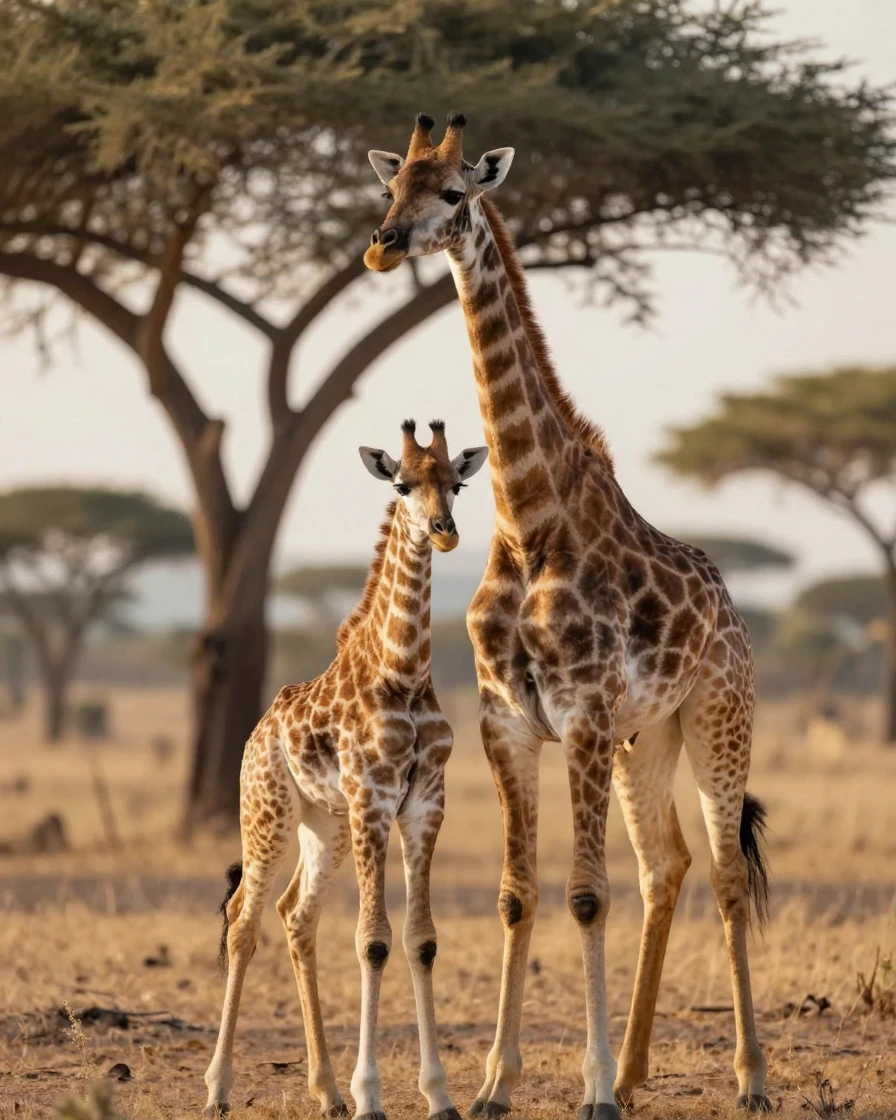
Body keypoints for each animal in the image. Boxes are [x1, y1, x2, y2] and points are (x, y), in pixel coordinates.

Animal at [202, 418, 488, 1120]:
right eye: (403, 484)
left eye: (459, 483)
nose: (444, 530)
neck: (404, 675)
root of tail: (257, 733)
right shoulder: (372, 799)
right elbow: (372, 940)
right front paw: (371, 1096)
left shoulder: (425, 804)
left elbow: (420, 939)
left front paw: (439, 1096)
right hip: (269, 816)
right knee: (243, 920)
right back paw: (218, 1089)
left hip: (324, 826)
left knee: (295, 916)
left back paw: (325, 1091)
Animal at [363, 113, 772, 1118]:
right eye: (390, 189)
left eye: (454, 192)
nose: (382, 246)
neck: (527, 516)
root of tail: (736, 613)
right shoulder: (509, 721)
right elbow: (519, 893)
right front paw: (495, 1085)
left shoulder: (582, 713)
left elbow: (586, 895)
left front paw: (586, 1091)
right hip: (645, 738)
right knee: (665, 867)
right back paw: (631, 1067)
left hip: (717, 719)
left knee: (724, 872)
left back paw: (747, 1076)